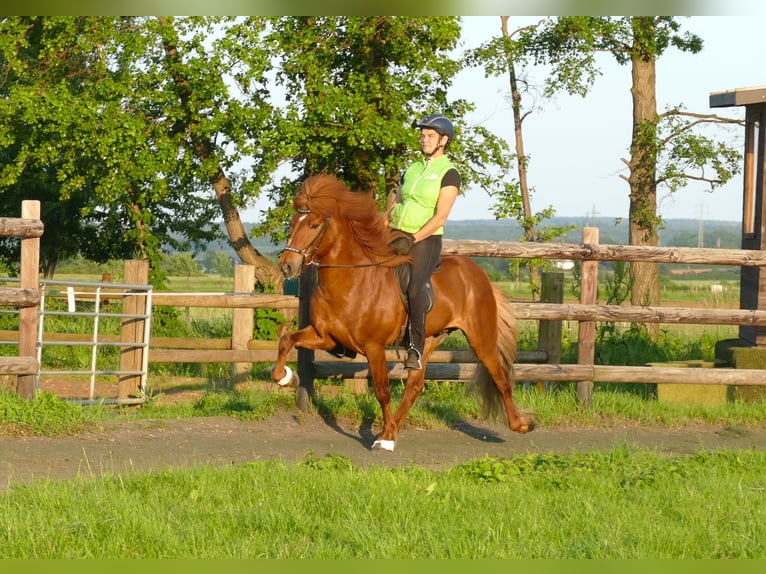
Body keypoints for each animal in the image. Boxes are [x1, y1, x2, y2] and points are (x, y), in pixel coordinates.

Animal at [271, 173, 535, 451]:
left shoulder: (374, 346)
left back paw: (520, 424)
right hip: (427, 340)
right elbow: (286, 340)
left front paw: (384, 441)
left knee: (501, 377)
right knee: (415, 386)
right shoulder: (326, 337)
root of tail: (478, 274)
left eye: (313, 225)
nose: (287, 266)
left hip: (480, 337)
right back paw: (391, 429)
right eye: (293, 223)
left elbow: (382, 391)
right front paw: (286, 377)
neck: (351, 280)